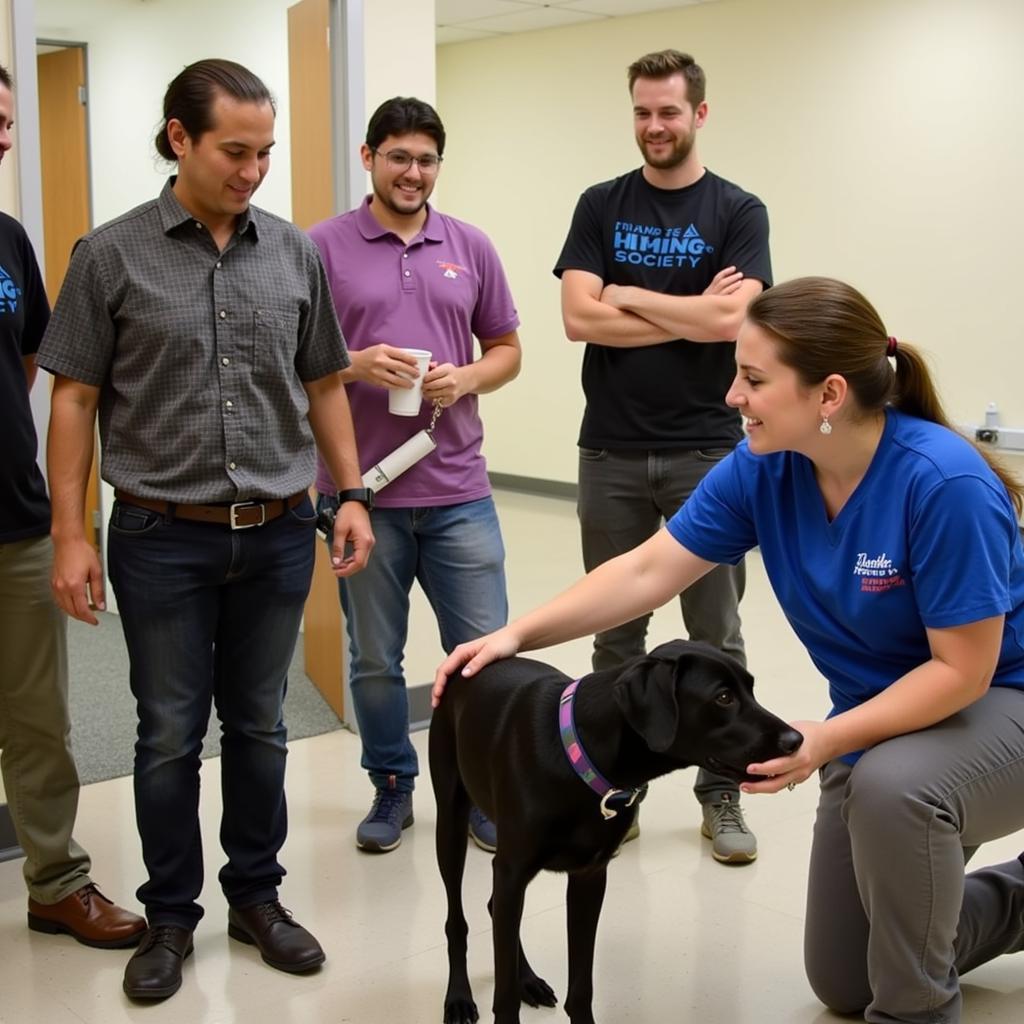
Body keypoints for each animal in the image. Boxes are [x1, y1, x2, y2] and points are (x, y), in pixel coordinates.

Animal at [428, 634, 802, 1019]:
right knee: (458, 920)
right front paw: (498, 995)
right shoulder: (512, 870)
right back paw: (459, 996)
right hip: (452, 824)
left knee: (493, 908)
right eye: (724, 697)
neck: (578, 757)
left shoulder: (589, 876)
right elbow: (503, 999)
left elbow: (581, 988)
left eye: (751, 689)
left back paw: (527, 980)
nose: (796, 740)